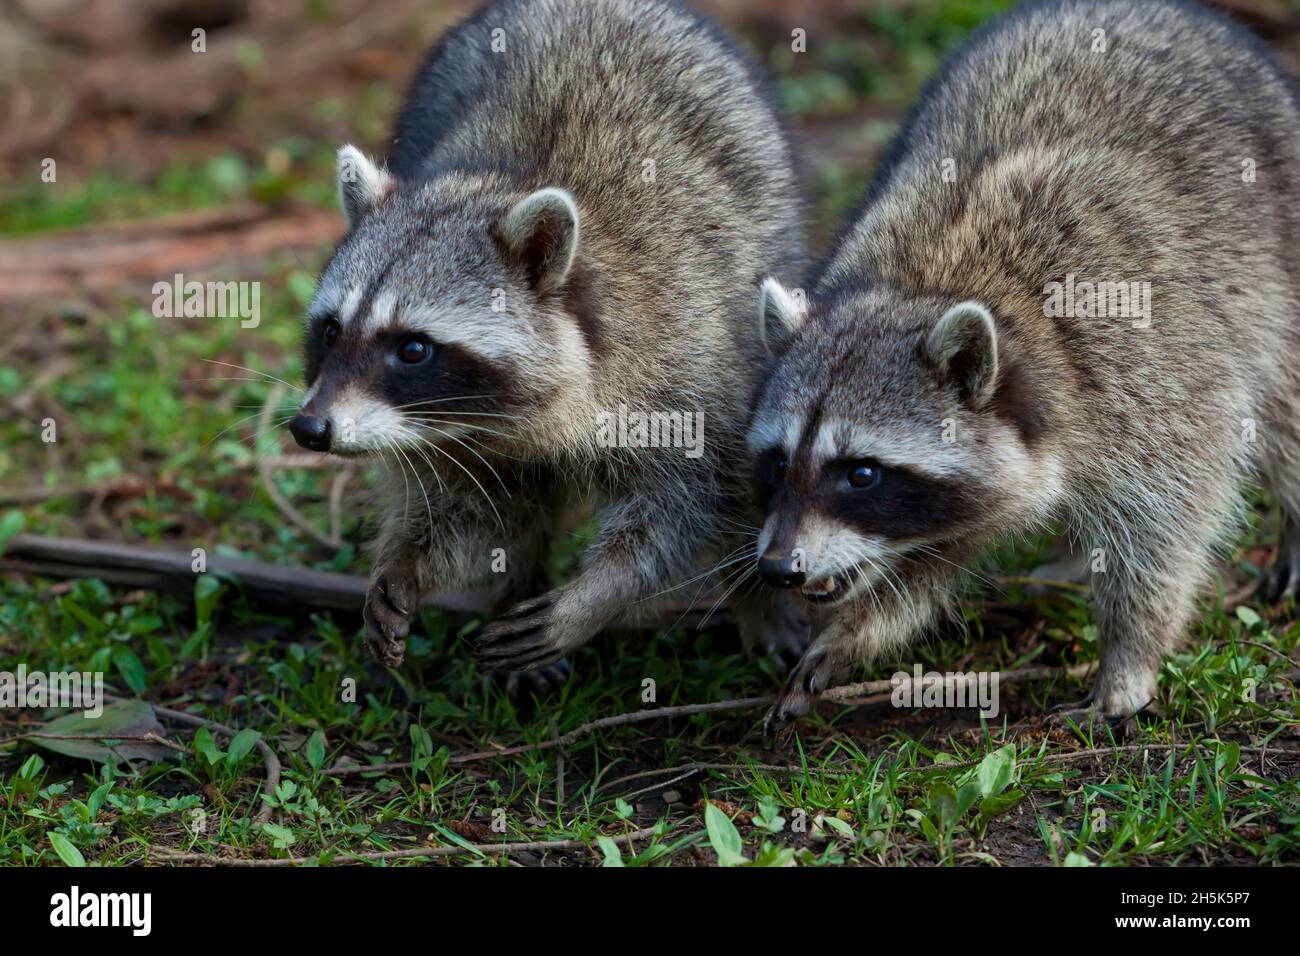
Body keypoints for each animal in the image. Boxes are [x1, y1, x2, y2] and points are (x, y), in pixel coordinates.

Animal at [289, 0, 806, 681]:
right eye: (331, 331)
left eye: (413, 349)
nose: (309, 428)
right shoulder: (448, 437)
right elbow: (469, 507)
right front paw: (405, 559)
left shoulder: (687, 362)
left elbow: (690, 505)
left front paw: (598, 594)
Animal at [748, 0, 1300, 728]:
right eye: (779, 463)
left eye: (861, 473)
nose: (779, 568)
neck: (927, 283)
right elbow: (927, 562)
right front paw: (855, 629)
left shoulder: (1149, 372)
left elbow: (1170, 521)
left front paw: (1130, 655)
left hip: (1277, 268)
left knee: (1286, 409)